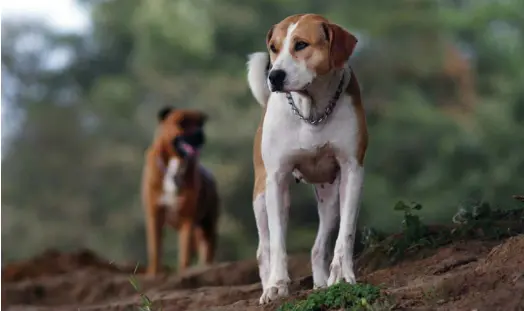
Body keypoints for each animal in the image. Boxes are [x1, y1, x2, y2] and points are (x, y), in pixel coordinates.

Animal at [141, 106, 219, 276]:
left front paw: (184, 272)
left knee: (207, 250)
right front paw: (154, 273)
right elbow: (155, 250)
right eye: (182, 122)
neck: (174, 167)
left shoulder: (187, 218)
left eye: (200, 123)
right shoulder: (155, 214)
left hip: (208, 226)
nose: (200, 133)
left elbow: (184, 253)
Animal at [247, 13, 366, 304]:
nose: (274, 75)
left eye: (301, 45)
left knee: (319, 245)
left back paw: (322, 283)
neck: (311, 111)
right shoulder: (276, 178)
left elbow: (346, 233)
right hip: (260, 196)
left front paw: (342, 276)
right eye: (274, 48)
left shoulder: (352, 170)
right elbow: (278, 241)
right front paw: (277, 285)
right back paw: (266, 285)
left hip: (329, 194)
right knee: (264, 247)